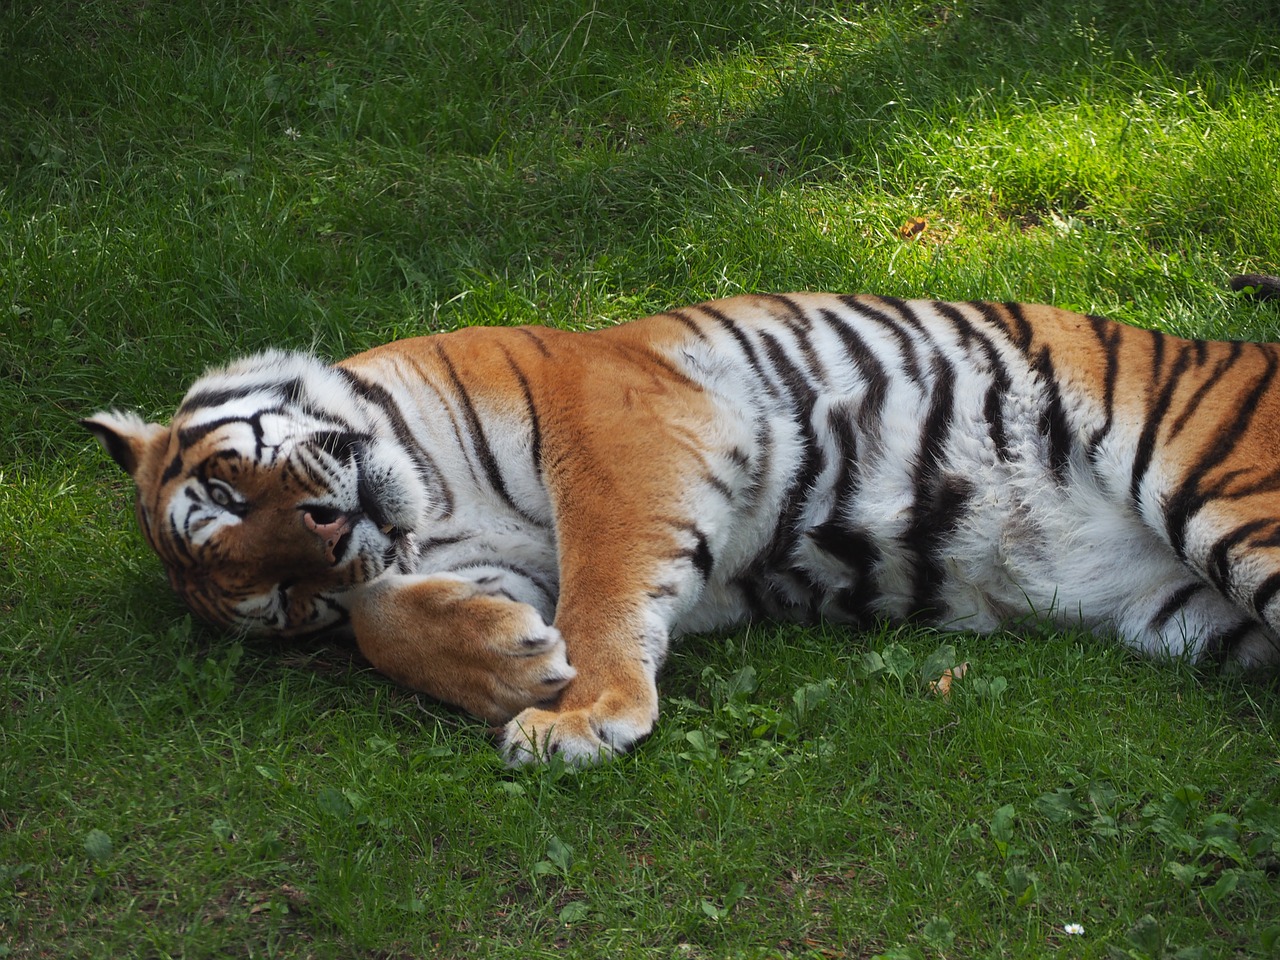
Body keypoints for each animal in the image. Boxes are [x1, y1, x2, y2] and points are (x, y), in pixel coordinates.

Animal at [85, 277, 1280, 768]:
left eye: (231, 485)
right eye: (284, 599)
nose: (329, 540)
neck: (434, 502)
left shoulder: (619, 430)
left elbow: (605, 583)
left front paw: (578, 714)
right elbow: (389, 619)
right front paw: (513, 669)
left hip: (1229, 503)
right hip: (1198, 612)